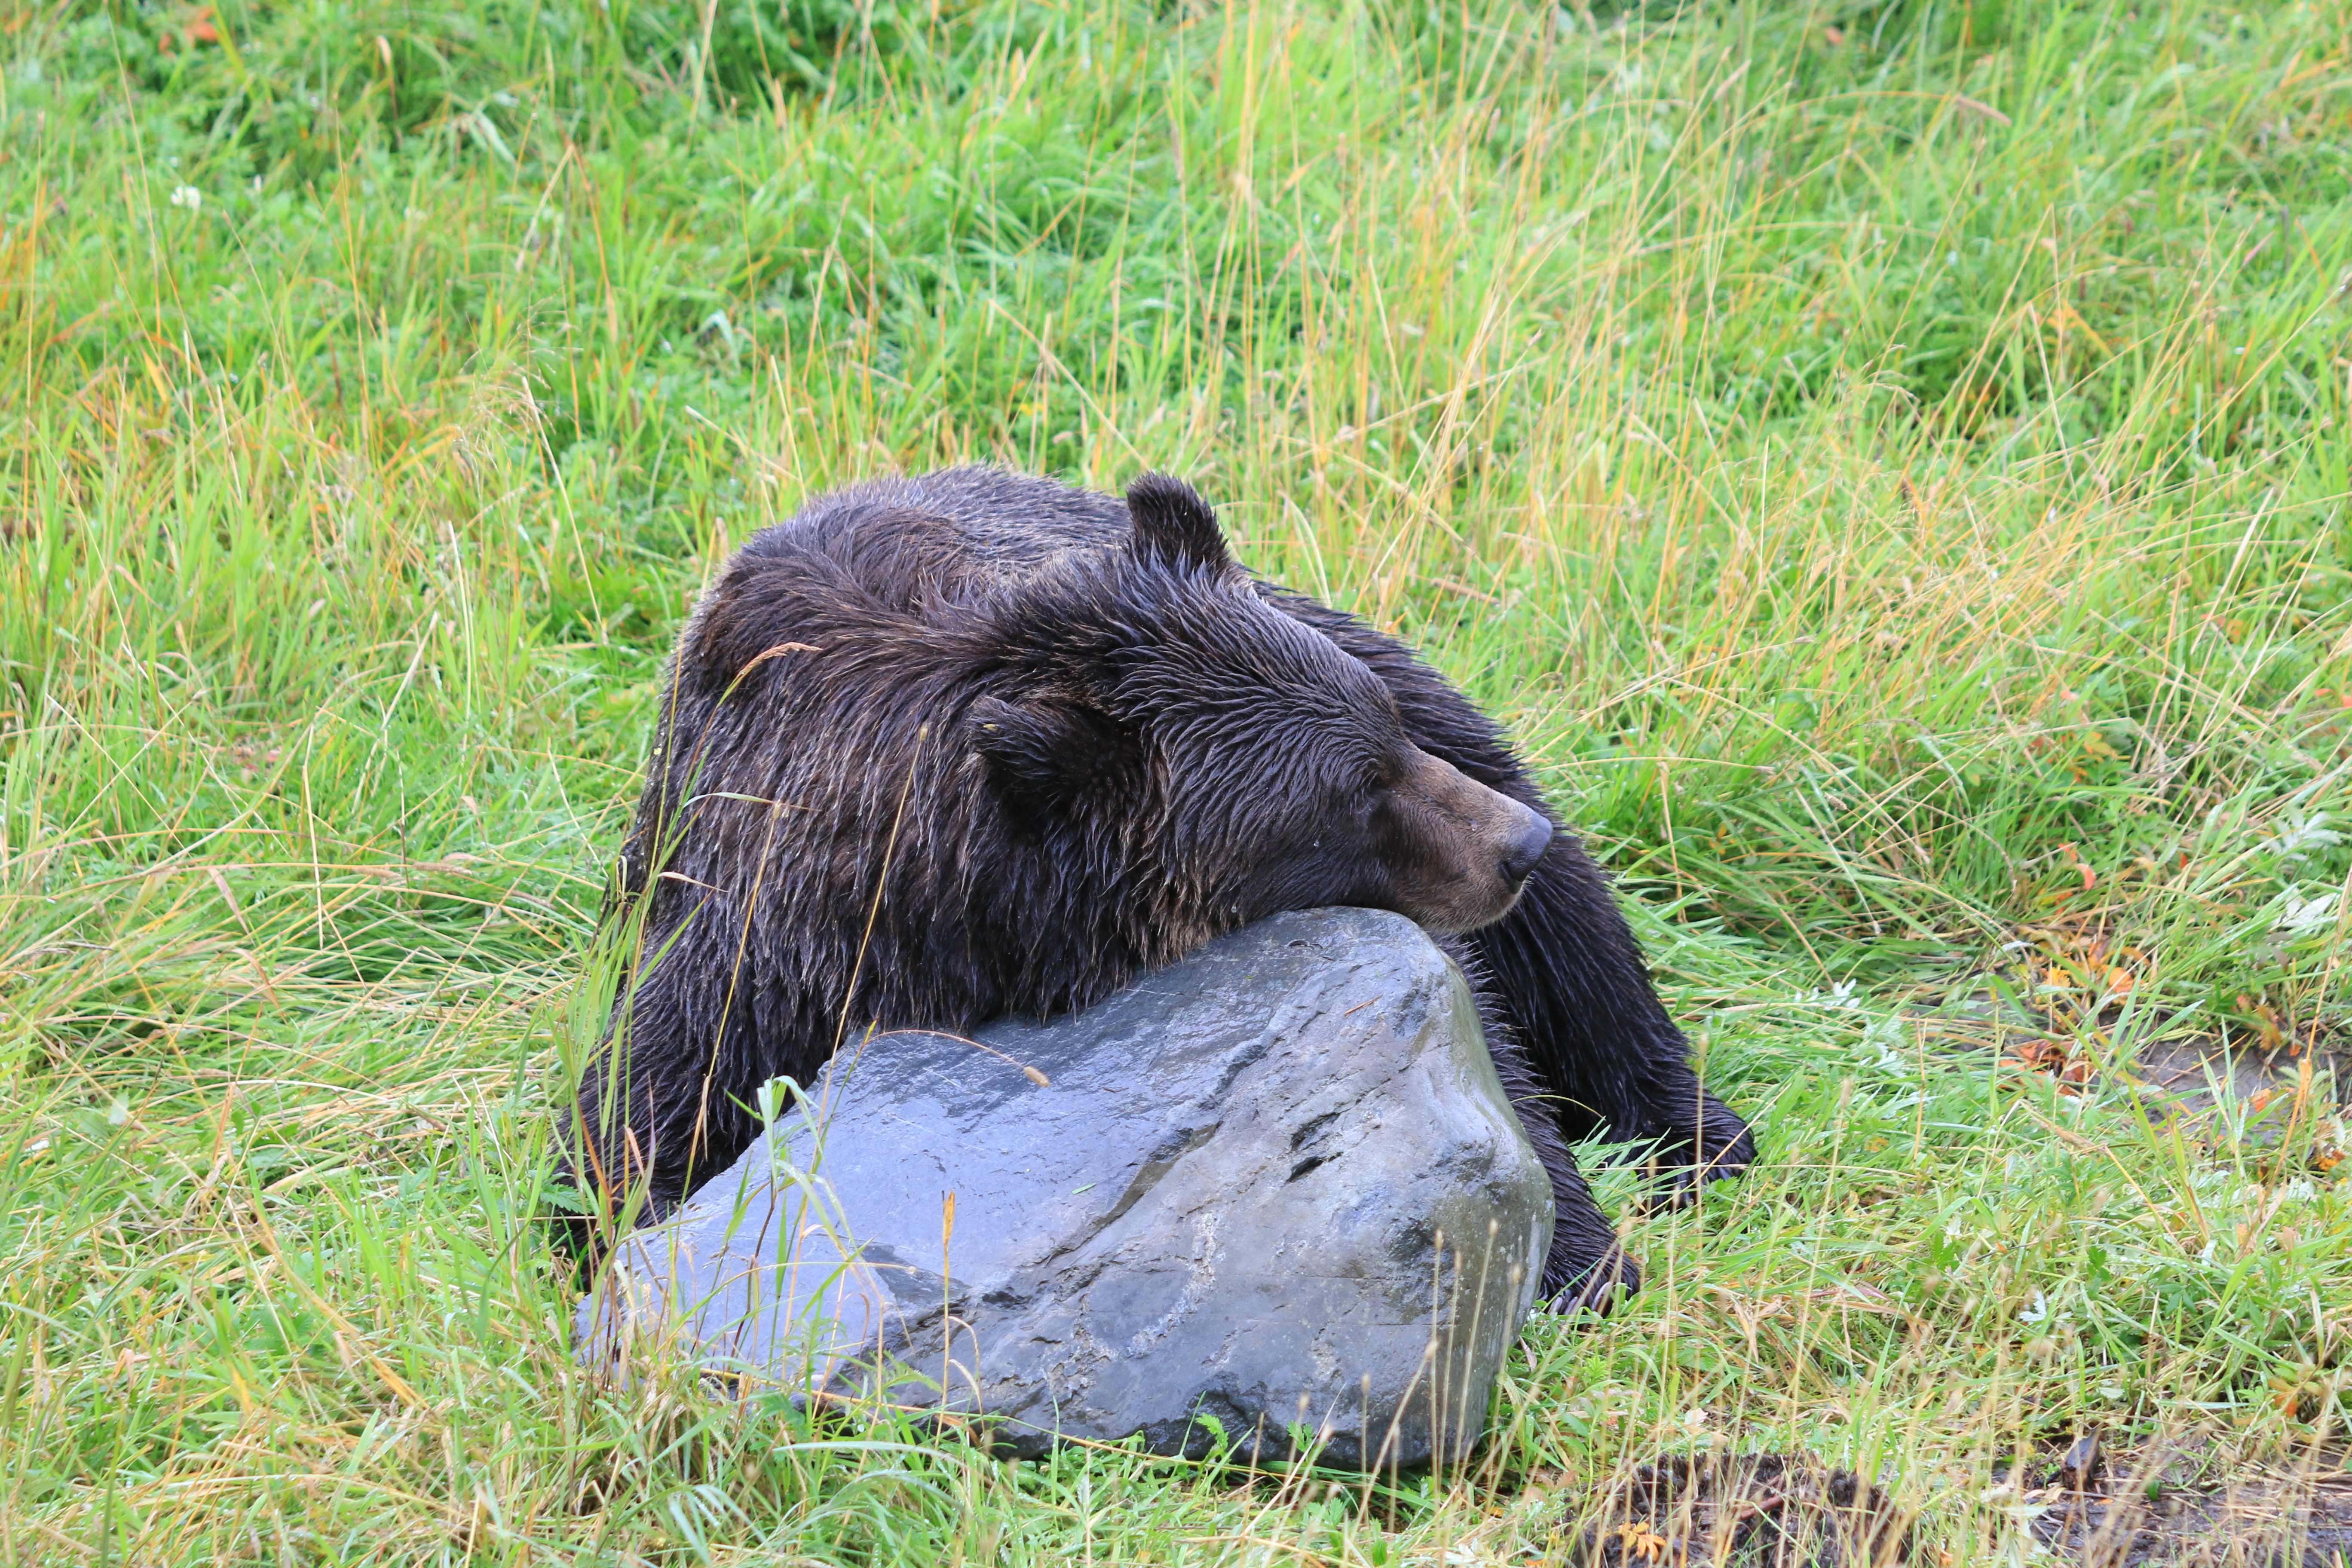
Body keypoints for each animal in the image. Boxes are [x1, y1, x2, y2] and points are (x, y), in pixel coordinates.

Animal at [569, 467, 1754, 1311]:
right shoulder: (764, 943)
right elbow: (627, 1134)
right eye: (1346, 794)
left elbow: (1485, 1050)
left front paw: (1577, 1258)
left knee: (1583, 951)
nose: (1515, 845)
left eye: (1380, 738)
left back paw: (1700, 1137)